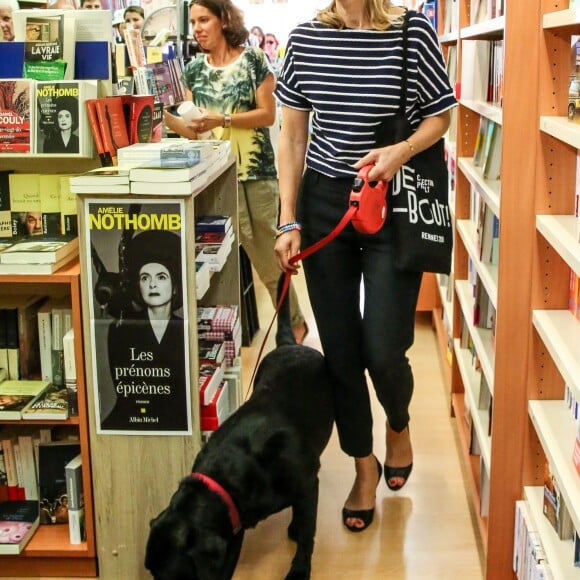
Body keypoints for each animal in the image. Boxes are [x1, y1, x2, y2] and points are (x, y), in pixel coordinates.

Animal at [145, 276, 336, 580]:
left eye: (169, 577)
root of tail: (289, 344)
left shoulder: (307, 486)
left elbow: (308, 533)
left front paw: (299, 569)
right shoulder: (232, 526)